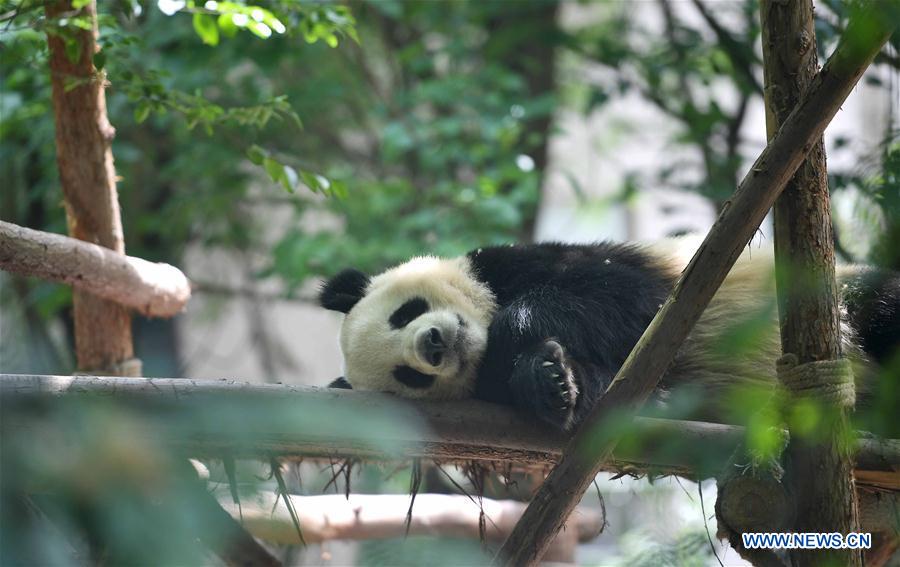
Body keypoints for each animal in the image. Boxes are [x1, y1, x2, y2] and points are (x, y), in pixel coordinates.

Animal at [319, 240, 899, 431]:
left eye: (405, 312)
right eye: (408, 376)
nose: (433, 345)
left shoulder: (515, 263)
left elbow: (623, 298)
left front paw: (522, 345)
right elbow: (608, 392)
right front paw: (551, 382)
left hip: (844, 299)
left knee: (882, 307)